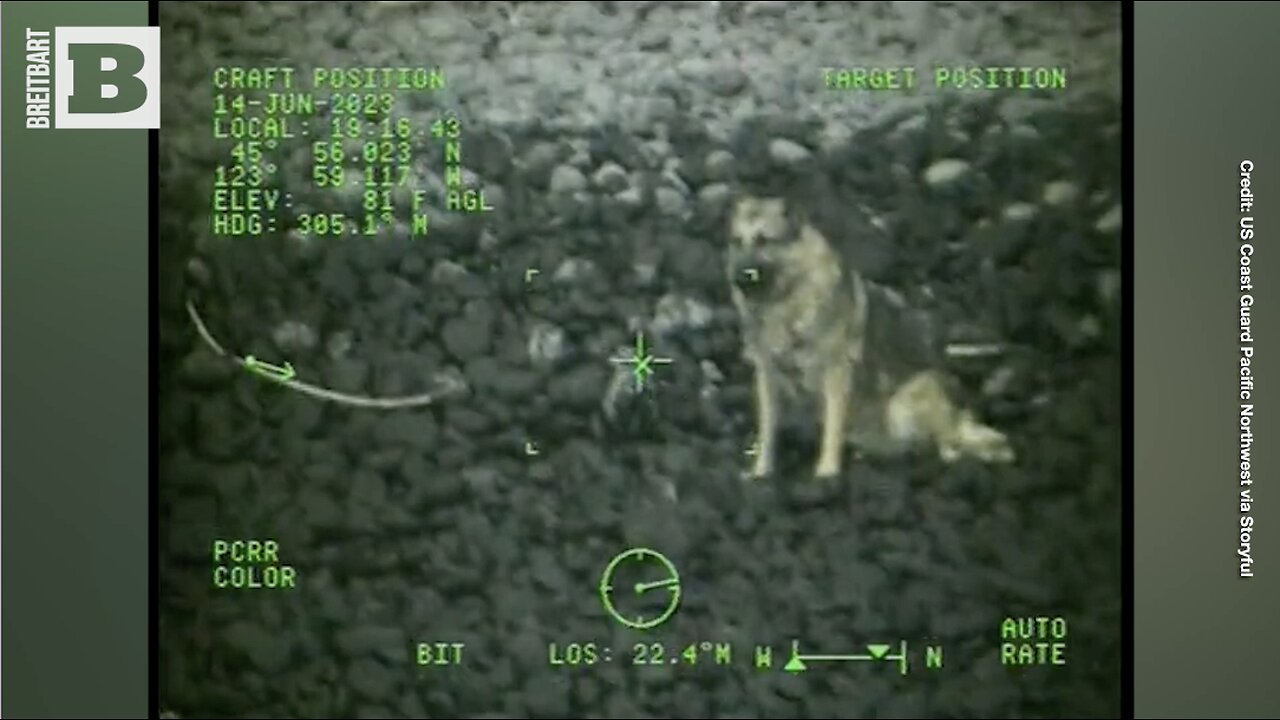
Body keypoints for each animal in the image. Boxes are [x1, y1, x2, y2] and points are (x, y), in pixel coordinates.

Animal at [727, 193, 1013, 479]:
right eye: (737, 241)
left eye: (764, 240)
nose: (737, 278)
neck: (785, 298)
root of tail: (957, 416)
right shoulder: (766, 375)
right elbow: (768, 428)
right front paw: (761, 470)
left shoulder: (836, 373)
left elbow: (832, 427)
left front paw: (827, 472)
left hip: (904, 402)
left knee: (946, 447)